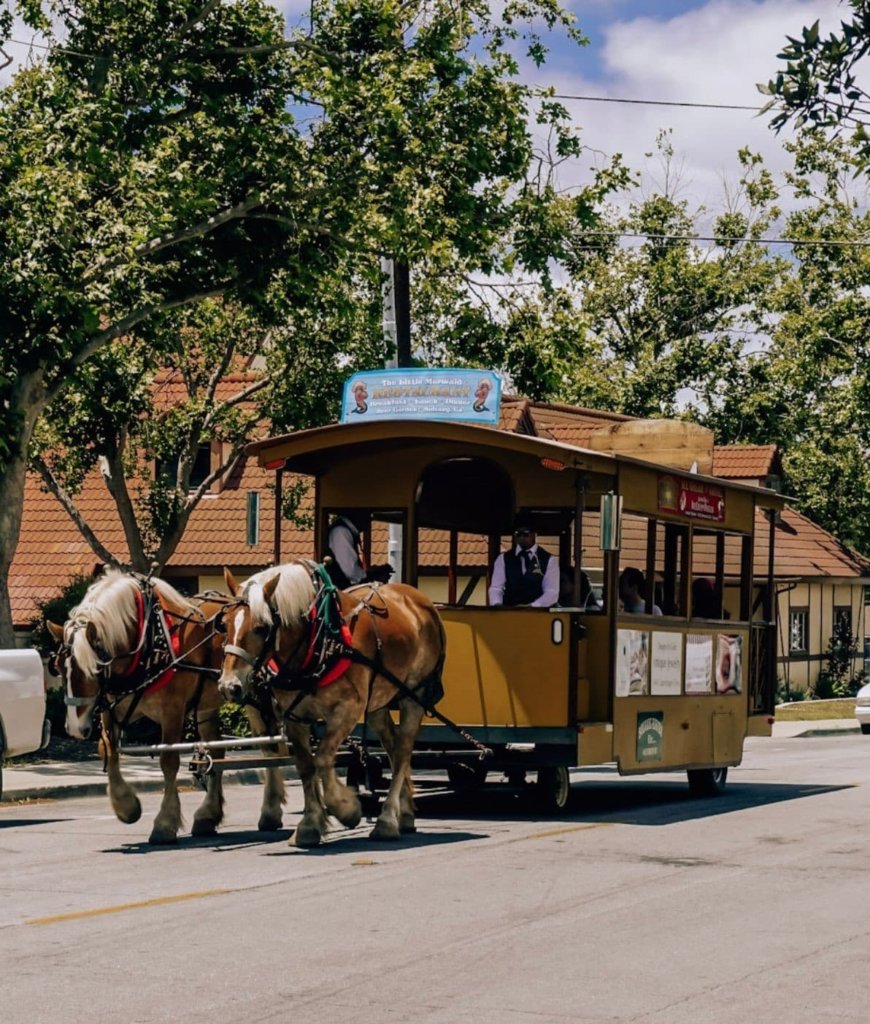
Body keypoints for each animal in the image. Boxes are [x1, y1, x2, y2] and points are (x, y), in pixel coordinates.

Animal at [48, 573, 284, 843]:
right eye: (57, 667)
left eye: (94, 668)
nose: (75, 728)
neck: (149, 637)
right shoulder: (111, 709)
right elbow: (107, 749)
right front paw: (126, 806)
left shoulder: (173, 709)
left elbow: (168, 760)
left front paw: (165, 822)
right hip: (207, 704)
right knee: (218, 752)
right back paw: (208, 815)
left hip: (252, 693)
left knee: (269, 746)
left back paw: (270, 811)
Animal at [220, 561, 444, 847]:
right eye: (224, 624)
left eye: (261, 627)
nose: (229, 687)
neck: (318, 637)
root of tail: (419, 600)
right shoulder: (293, 717)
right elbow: (306, 766)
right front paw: (309, 825)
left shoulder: (348, 710)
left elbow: (324, 757)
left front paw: (346, 808)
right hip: (378, 702)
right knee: (393, 750)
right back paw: (404, 814)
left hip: (412, 695)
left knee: (403, 751)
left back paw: (386, 821)